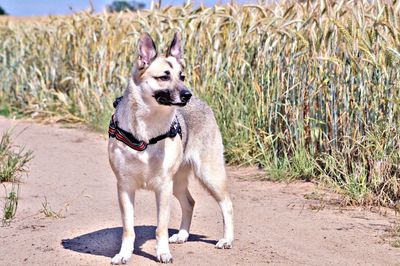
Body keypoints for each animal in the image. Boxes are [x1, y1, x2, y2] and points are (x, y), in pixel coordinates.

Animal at [108, 32, 234, 264]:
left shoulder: (163, 188)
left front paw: (162, 252)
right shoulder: (125, 188)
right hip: (178, 182)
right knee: (190, 203)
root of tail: (202, 102)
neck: (147, 129)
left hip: (209, 175)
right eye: (164, 77)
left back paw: (227, 240)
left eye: (181, 76)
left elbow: (161, 228)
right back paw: (183, 235)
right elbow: (128, 229)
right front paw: (124, 254)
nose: (187, 95)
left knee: (227, 204)